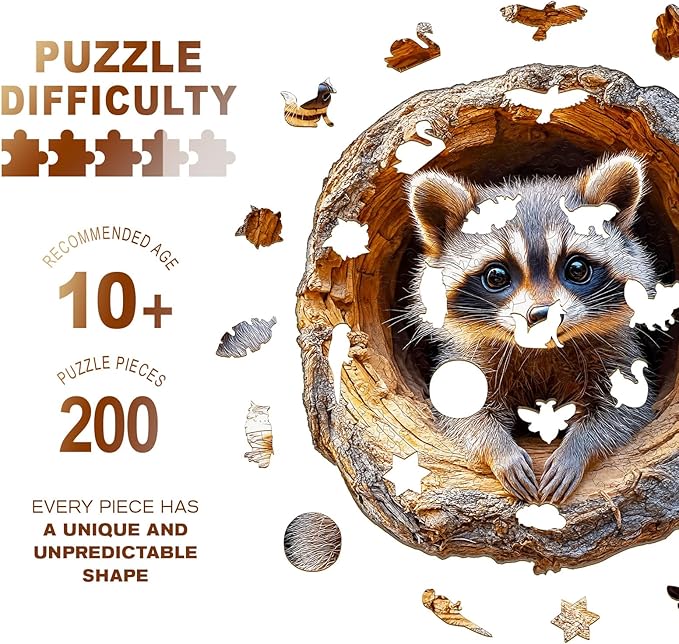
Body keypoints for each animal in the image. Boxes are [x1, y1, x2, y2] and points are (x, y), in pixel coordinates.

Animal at [405, 152, 658, 503]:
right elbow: (465, 413)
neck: (541, 349)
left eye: (577, 268)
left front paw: (577, 449)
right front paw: (500, 451)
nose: (542, 314)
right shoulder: (469, 356)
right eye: (496, 275)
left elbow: (623, 409)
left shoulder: (616, 352)